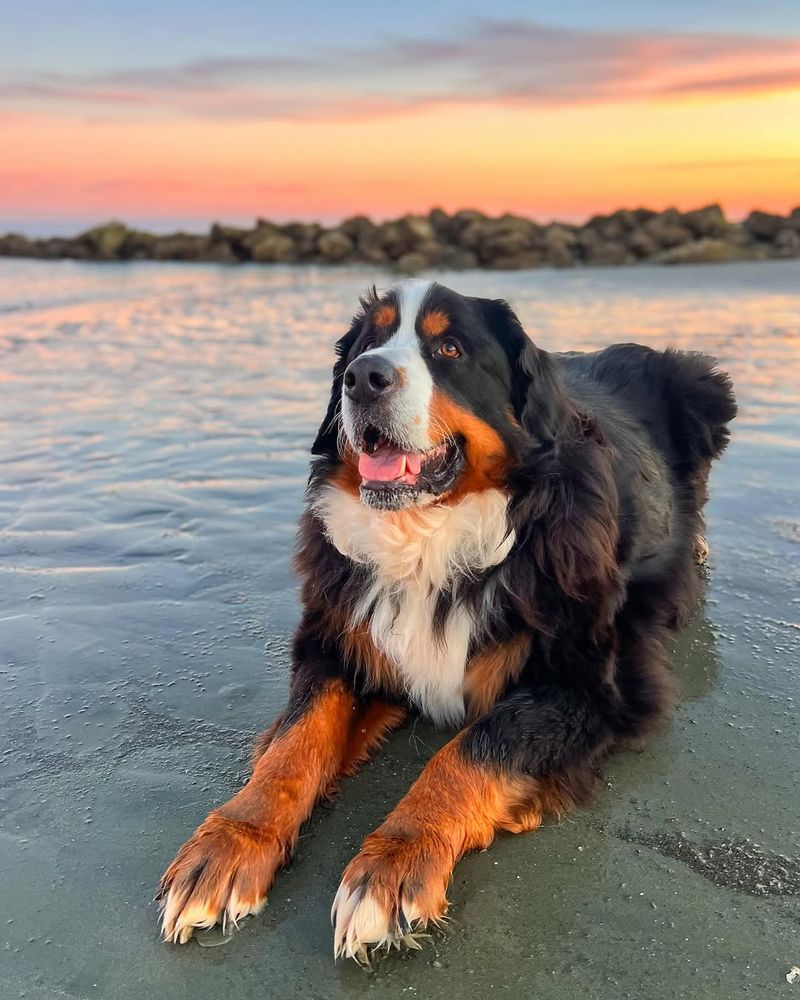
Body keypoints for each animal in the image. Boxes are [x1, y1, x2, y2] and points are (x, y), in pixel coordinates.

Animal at [158, 276, 736, 960]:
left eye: (450, 349)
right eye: (369, 341)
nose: (363, 377)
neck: (428, 536)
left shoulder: (590, 686)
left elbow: (470, 751)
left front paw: (394, 863)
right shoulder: (336, 640)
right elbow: (295, 744)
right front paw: (228, 845)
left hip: (706, 385)